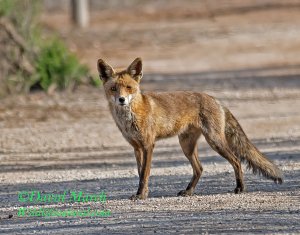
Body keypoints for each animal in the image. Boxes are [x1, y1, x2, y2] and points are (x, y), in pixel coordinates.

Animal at [97, 57, 282, 199]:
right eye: (113, 88)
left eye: (129, 88)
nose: (121, 100)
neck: (130, 118)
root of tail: (215, 99)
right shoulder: (136, 148)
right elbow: (140, 173)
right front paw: (143, 193)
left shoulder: (148, 145)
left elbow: (144, 174)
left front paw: (141, 195)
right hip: (186, 145)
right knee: (199, 169)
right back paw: (188, 191)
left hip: (214, 141)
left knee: (236, 161)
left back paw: (240, 188)